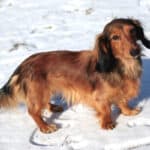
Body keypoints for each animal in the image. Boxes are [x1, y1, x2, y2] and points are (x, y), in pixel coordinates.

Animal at [0, 18, 150, 133]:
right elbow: (106, 109)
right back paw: (45, 126)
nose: (135, 51)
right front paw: (107, 123)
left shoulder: (120, 90)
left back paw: (53, 107)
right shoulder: (99, 97)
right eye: (115, 37)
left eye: (132, 31)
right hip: (39, 92)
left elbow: (122, 101)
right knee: (33, 111)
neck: (122, 66)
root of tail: (23, 64)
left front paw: (128, 111)